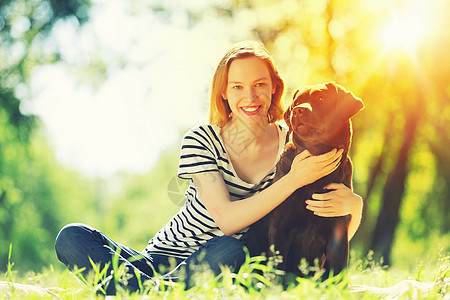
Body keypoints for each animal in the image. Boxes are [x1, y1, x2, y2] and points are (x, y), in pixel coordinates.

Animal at [246, 81, 366, 278]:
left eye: (322, 98)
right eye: (297, 101)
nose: (298, 110)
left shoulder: (338, 232)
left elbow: (338, 273)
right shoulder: (280, 228)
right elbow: (277, 271)